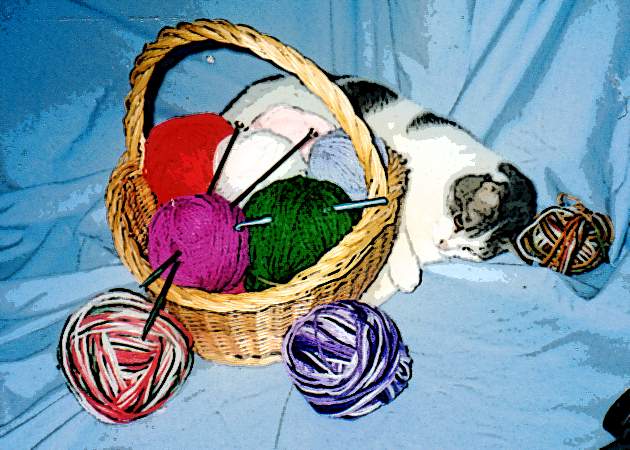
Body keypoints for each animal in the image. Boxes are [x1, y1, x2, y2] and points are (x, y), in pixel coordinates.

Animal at [222, 74, 540, 306]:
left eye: (470, 250)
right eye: (461, 220)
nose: (444, 244)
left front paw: (367, 297)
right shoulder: (397, 171)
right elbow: (398, 225)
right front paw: (406, 271)